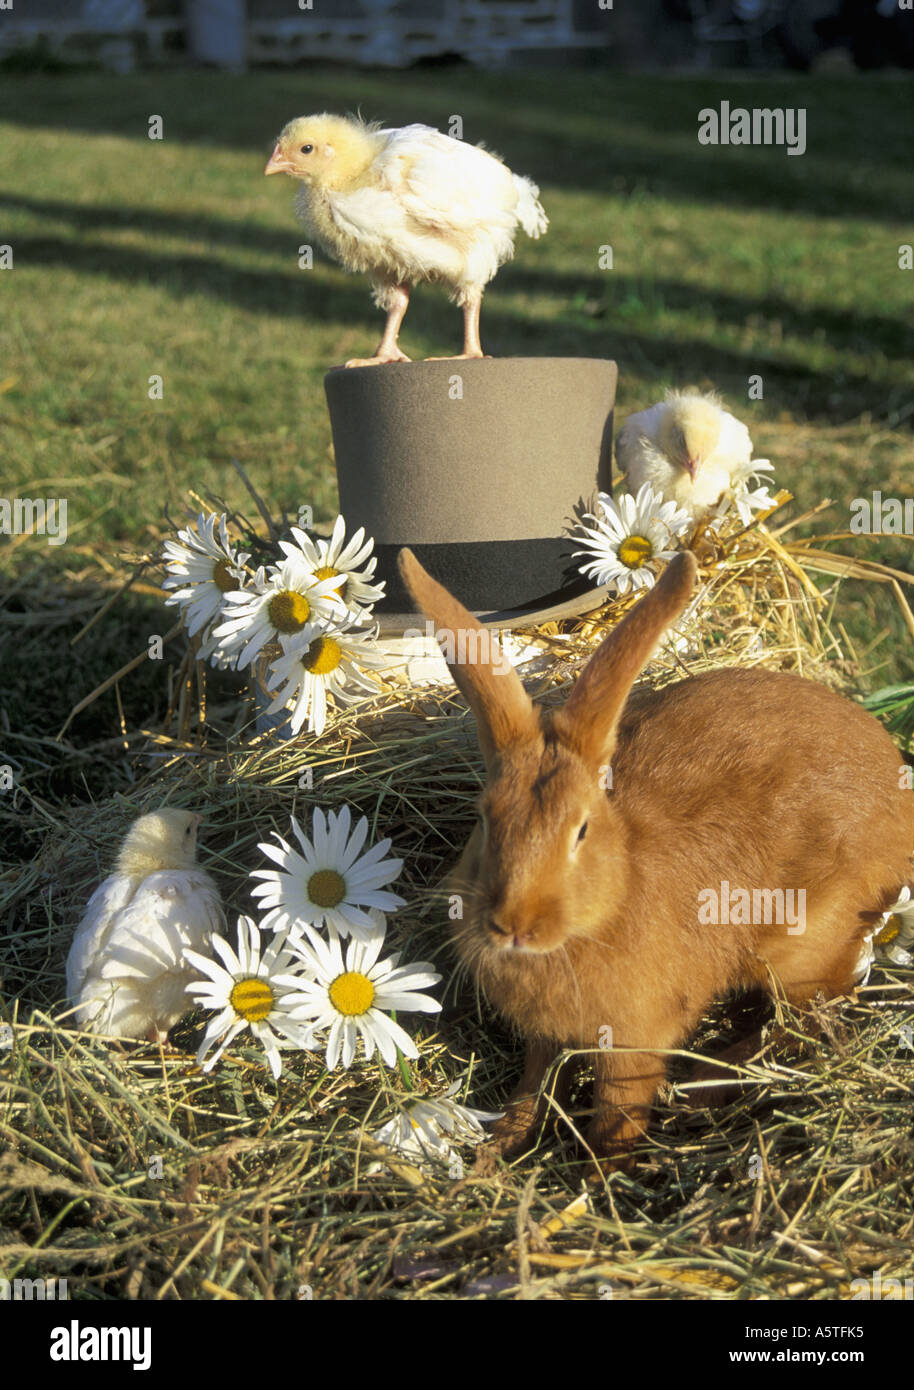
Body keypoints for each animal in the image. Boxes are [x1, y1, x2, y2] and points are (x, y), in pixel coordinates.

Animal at [398, 546, 914, 1167]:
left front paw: (602, 1174)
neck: (603, 908)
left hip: (804, 946)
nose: (514, 925)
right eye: (484, 817)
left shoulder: (634, 1042)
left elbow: (619, 1111)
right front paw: (496, 1150)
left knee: (810, 1018)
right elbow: (534, 1083)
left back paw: (698, 1085)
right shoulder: (547, 1037)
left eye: (581, 831)